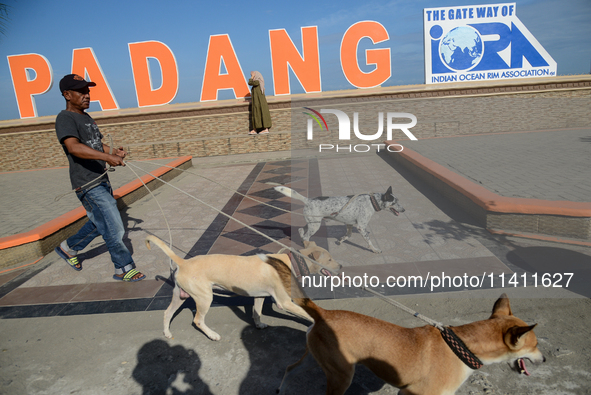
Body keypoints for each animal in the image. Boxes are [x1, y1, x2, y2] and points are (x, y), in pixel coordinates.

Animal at [145, 237, 314, 342]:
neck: (287, 261)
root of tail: (184, 262)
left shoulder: (259, 296)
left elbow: (256, 312)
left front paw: (258, 325)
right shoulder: (284, 302)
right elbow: (308, 313)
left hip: (180, 296)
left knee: (167, 313)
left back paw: (167, 333)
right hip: (205, 298)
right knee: (198, 320)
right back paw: (212, 335)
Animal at [272, 260, 544, 395]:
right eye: (535, 345)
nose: (544, 359)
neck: (464, 346)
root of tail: (322, 312)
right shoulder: (412, 394)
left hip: (321, 360)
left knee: (290, 368)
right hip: (341, 376)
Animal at [276, 186, 404, 254]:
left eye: (398, 201)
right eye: (394, 202)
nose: (404, 209)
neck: (372, 202)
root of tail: (308, 200)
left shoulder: (349, 224)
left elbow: (348, 235)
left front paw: (341, 240)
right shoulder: (361, 227)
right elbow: (369, 241)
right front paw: (375, 249)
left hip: (312, 222)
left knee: (301, 231)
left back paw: (303, 241)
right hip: (315, 225)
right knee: (306, 236)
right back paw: (308, 246)